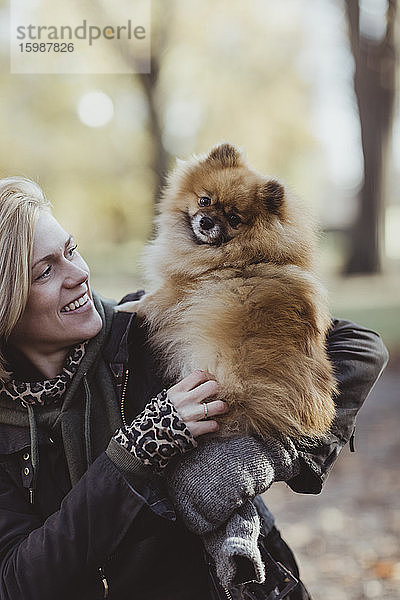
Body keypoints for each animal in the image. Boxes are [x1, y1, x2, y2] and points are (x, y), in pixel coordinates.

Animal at [123, 143, 336, 438]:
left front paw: (122, 306)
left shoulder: (174, 292)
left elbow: (144, 302)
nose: (207, 222)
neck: (240, 256)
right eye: (204, 200)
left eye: (234, 218)